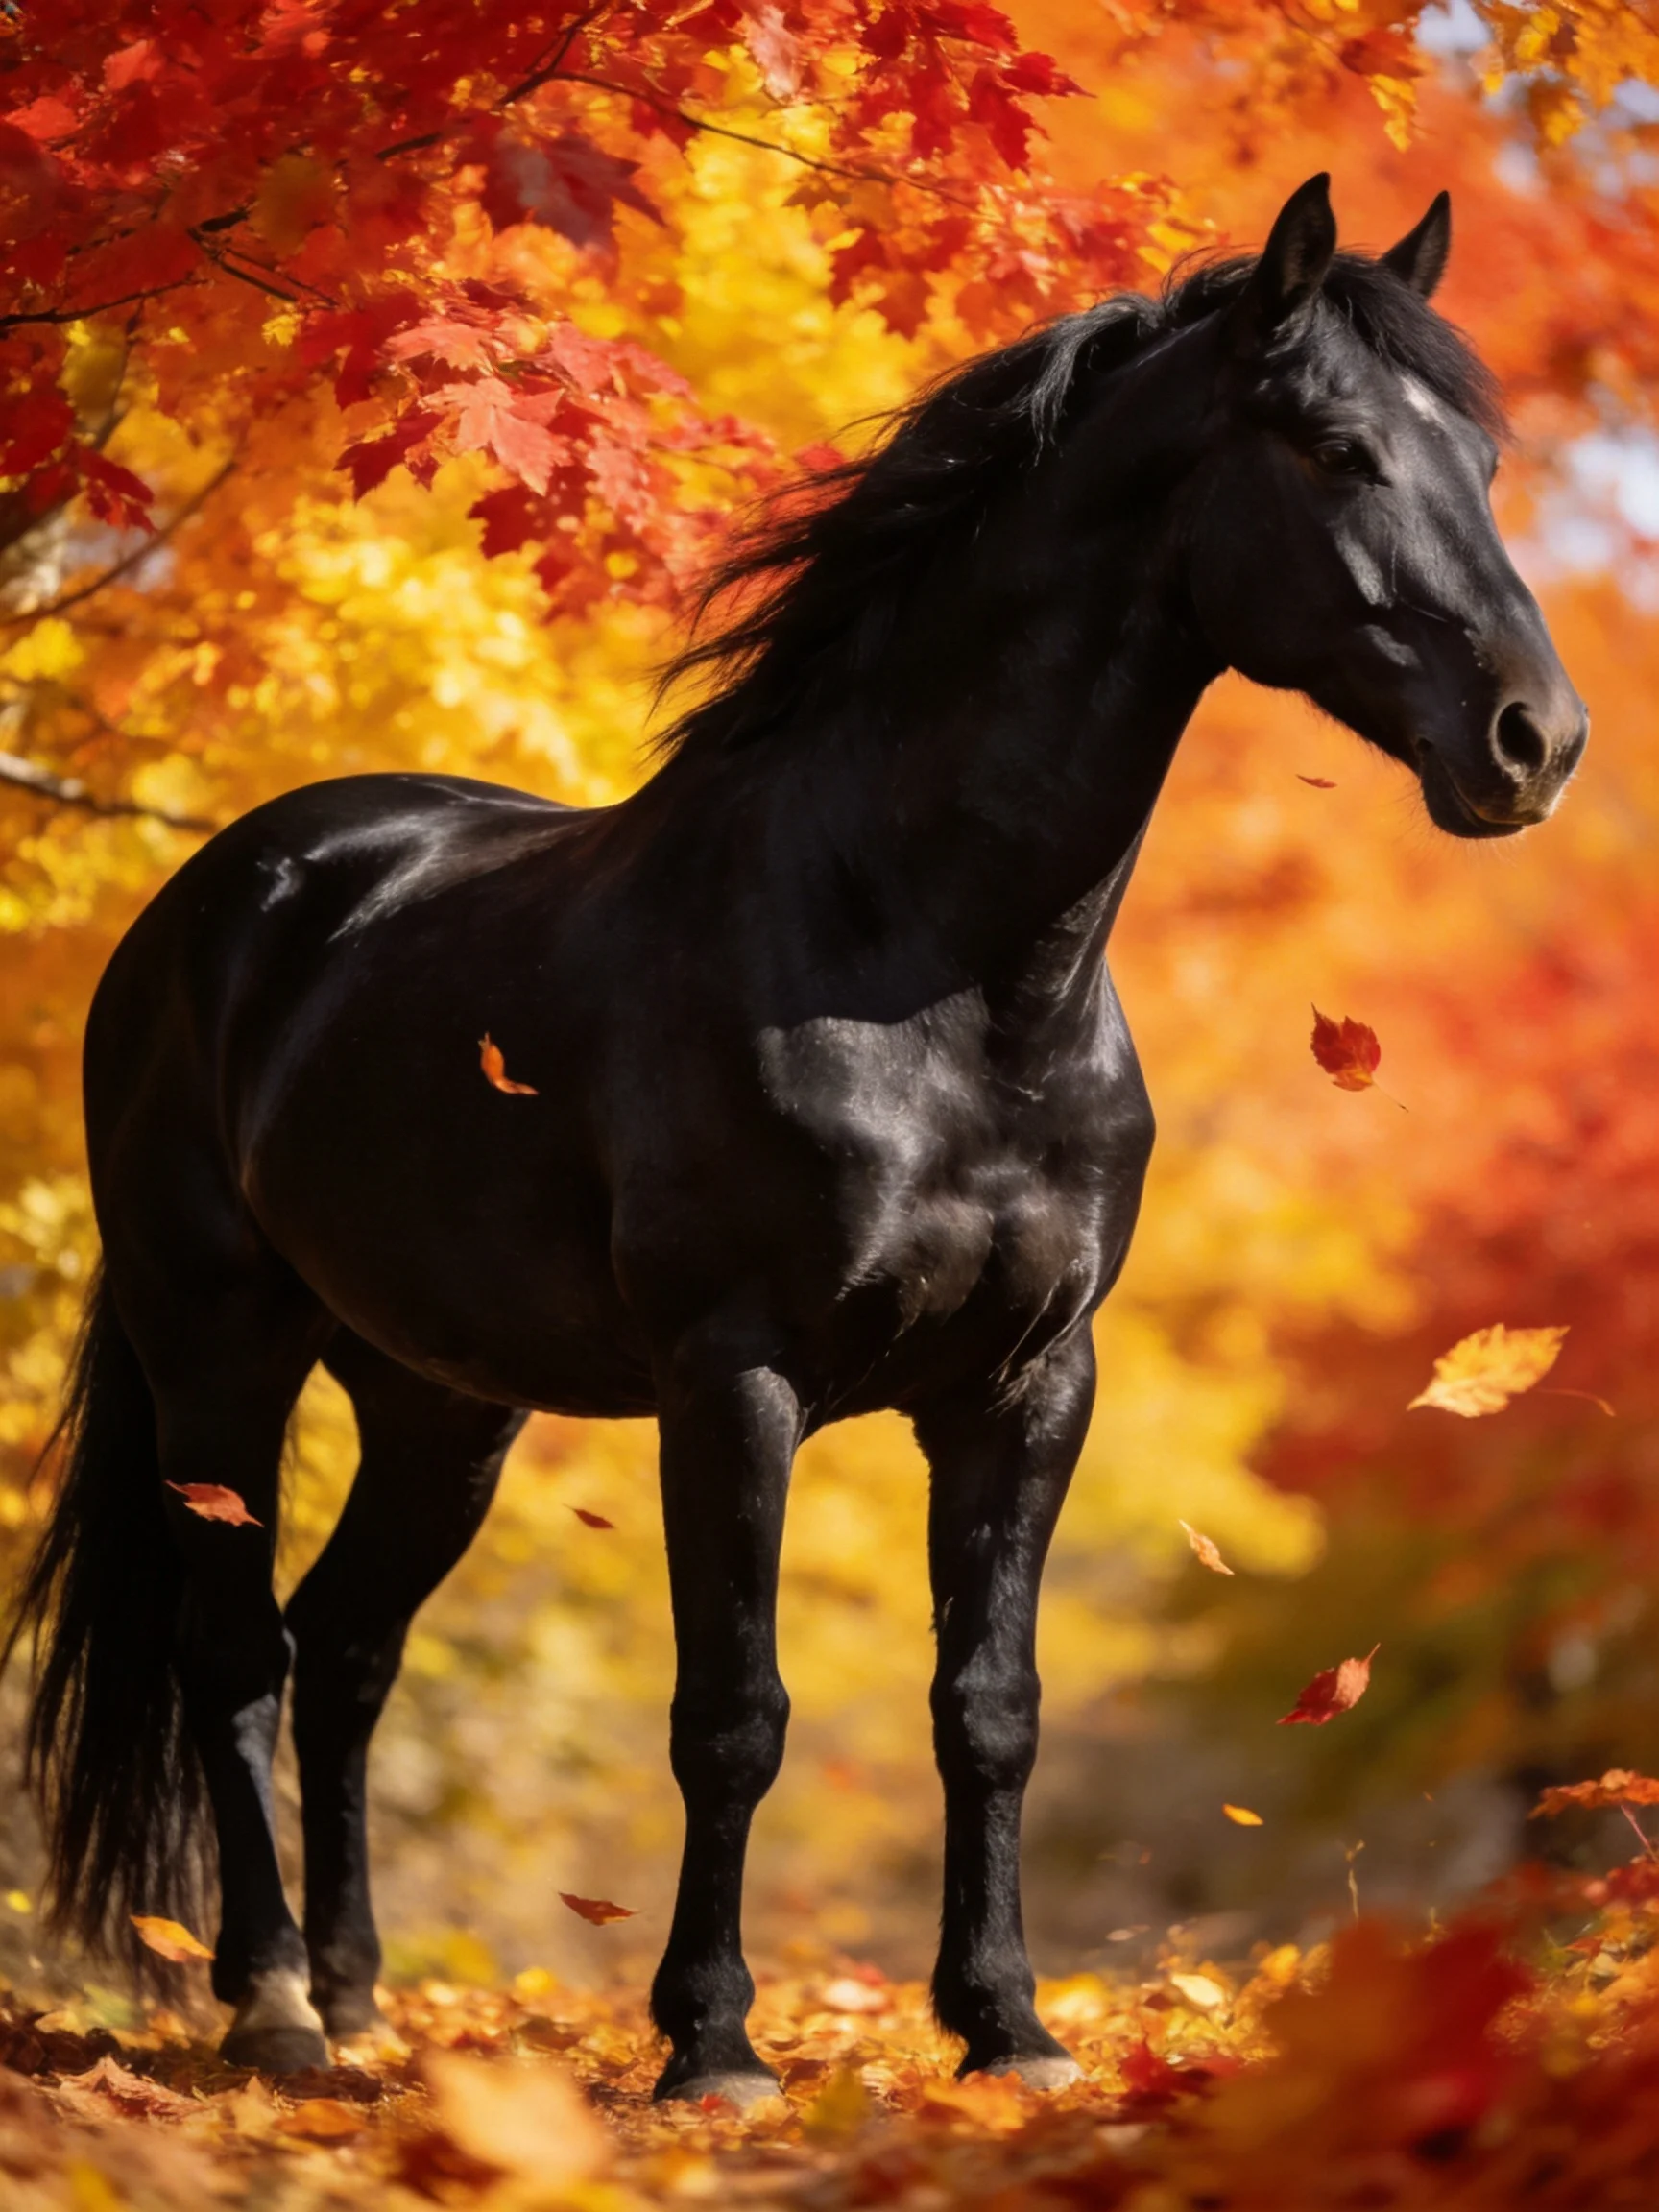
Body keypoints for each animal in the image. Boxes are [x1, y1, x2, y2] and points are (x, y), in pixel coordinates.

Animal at [4, 175, 1586, 2102]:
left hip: (440, 1401)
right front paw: (711, 2044)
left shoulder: (1027, 1387)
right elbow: (733, 1715)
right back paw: (280, 2006)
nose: (1536, 740)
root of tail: (228, 893)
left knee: (349, 1647)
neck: (936, 970)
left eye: (1485, 464)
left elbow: (990, 1709)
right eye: (1340, 447)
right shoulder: (732, 1378)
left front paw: (1006, 2027)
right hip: (220, 1347)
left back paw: (364, 1996)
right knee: (236, 1653)